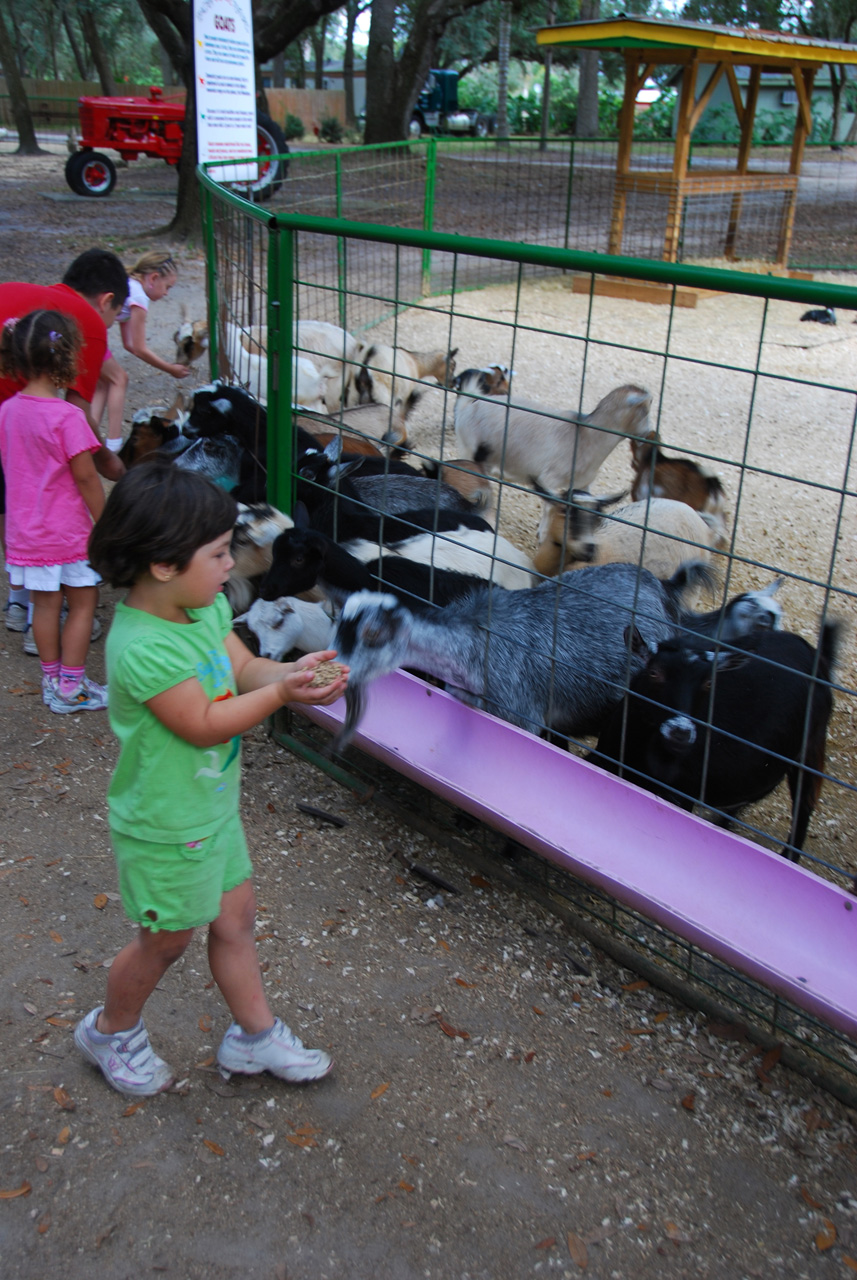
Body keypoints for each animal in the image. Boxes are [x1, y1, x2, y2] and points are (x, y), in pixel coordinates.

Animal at [330, 560, 711, 747]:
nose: (334, 669)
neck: (474, 651)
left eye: (372, 634)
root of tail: (663, 586)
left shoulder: (521, 717)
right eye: (337, 627)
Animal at [593, 619, 844, 860]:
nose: (681, 732)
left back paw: (788, 856)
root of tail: (813, 654)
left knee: (804, 803)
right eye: (654, 672)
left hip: (810, 749)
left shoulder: (680, 795)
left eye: (709, 683)